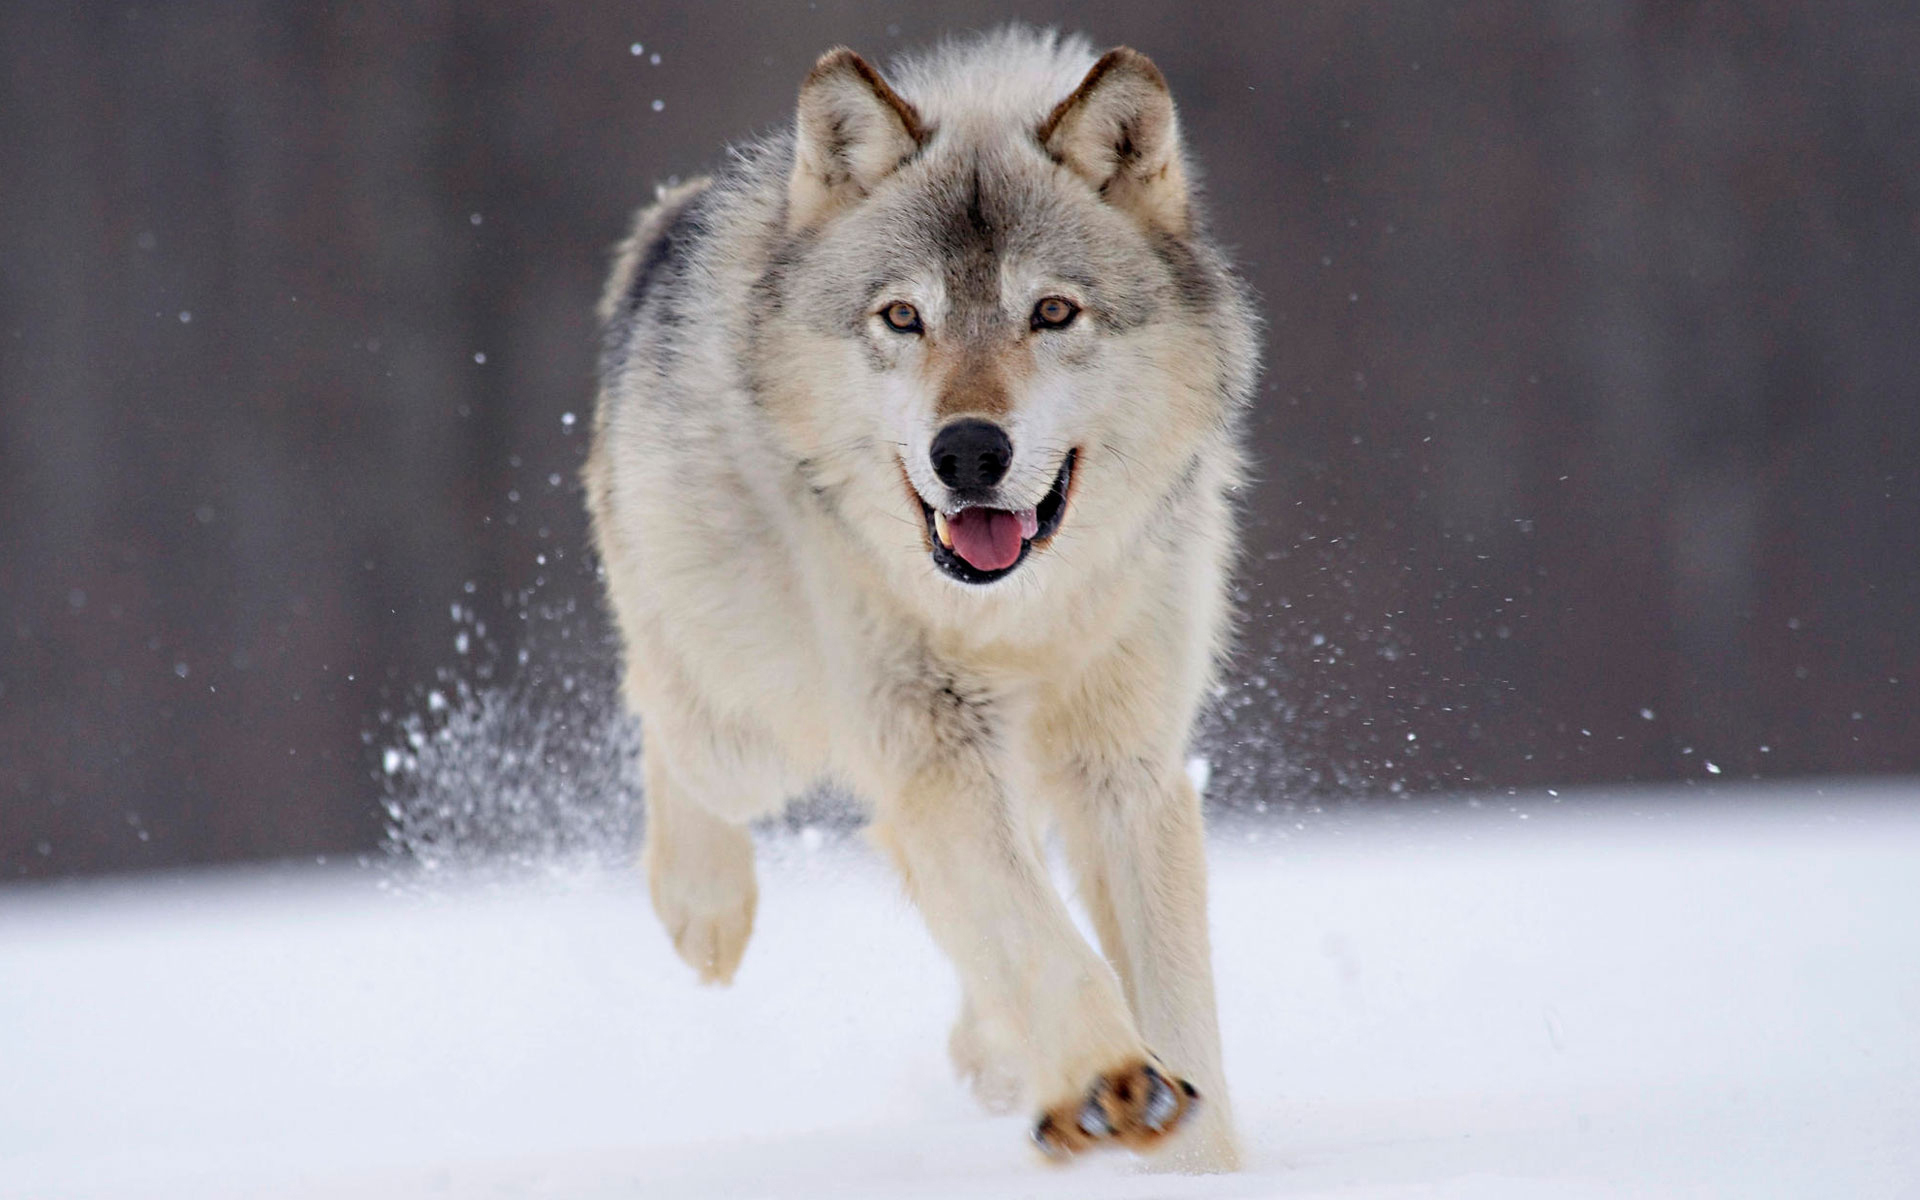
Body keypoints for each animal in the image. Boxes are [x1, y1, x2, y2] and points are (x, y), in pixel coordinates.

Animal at [583, 28, 1259, 1167]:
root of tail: (672, 220)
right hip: (752, 728)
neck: (1018, 617)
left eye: (1052, 312)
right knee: (664, 718)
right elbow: (1041, 939)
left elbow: (1176, 1007)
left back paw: (995, 1056)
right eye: (903, 317)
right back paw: (704, 910)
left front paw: (1190, 1152)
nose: (970, 451)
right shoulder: (932, 744)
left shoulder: (1126, 769)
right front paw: (1108, 1080)